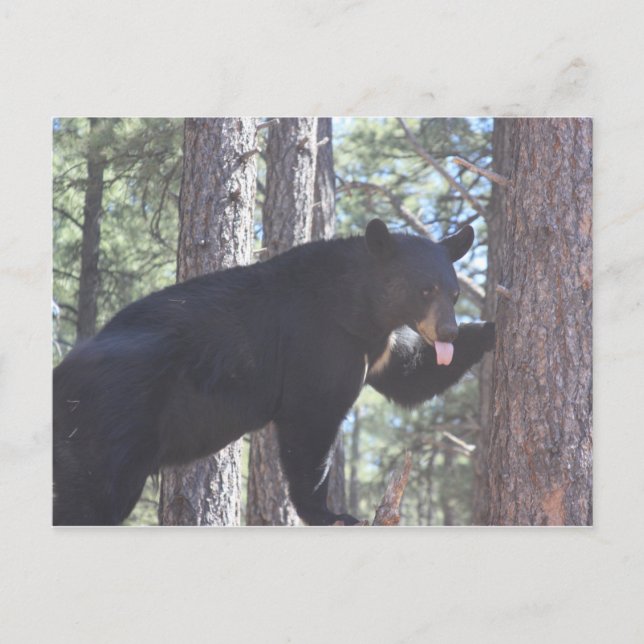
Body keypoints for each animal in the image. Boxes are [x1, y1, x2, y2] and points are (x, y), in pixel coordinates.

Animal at [53, 218, 494, 526]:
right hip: (110, 422)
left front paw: (490, 328)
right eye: (424, 290)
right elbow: (312, 422)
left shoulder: (375, 345)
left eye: (454, 293)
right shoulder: (320, 341)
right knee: (90, 495)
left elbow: (408, 375)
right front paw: (331, 513)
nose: (449, 331)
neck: (358, 307)